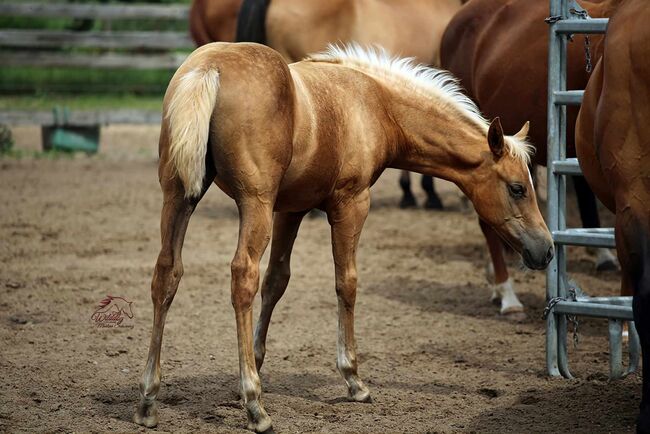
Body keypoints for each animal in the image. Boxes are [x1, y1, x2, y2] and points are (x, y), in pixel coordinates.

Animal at [133, 42, 552, 432]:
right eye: (518, 188)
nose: (545, 249)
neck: (376, 104)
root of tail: (210, 67)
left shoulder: (291, 209)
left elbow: (277, 281)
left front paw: (254, 364)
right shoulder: (351, 203)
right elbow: (346, 282)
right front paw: (353, 379)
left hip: (180, 195)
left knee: (167, 273)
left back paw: (149, 400)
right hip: (253, 202)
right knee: (243, 277)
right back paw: (256, 407)